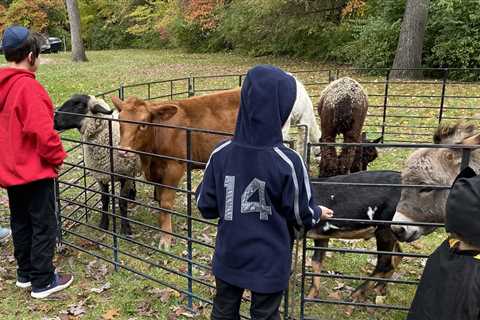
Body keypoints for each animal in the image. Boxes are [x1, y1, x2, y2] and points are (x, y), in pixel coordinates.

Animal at [111, 89, 240, 249]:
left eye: (143, 124)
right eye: (119, 120)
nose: (123, 151)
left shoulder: (175, 167)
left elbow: (165, 203)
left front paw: (166, 238)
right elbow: (160, 199)